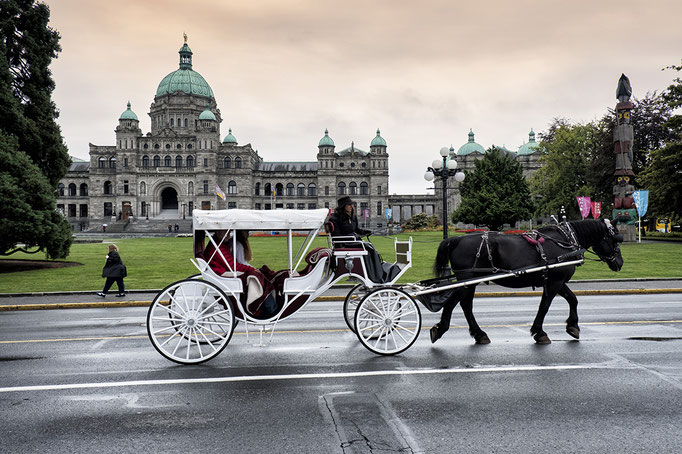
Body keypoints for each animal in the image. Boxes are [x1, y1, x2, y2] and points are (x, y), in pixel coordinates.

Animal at [430, 219, 620, 344]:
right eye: (616, 239)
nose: (620, 263)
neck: (566, 241)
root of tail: (456, 239)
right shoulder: (555, 282)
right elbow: (544, 306)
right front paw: (540, 332)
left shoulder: (557, 281)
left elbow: (573, 299)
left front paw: (573, 326)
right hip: (468, 280)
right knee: (457, 303)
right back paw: (443, 329)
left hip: (468, 281)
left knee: (464, 304)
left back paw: (476, 333)